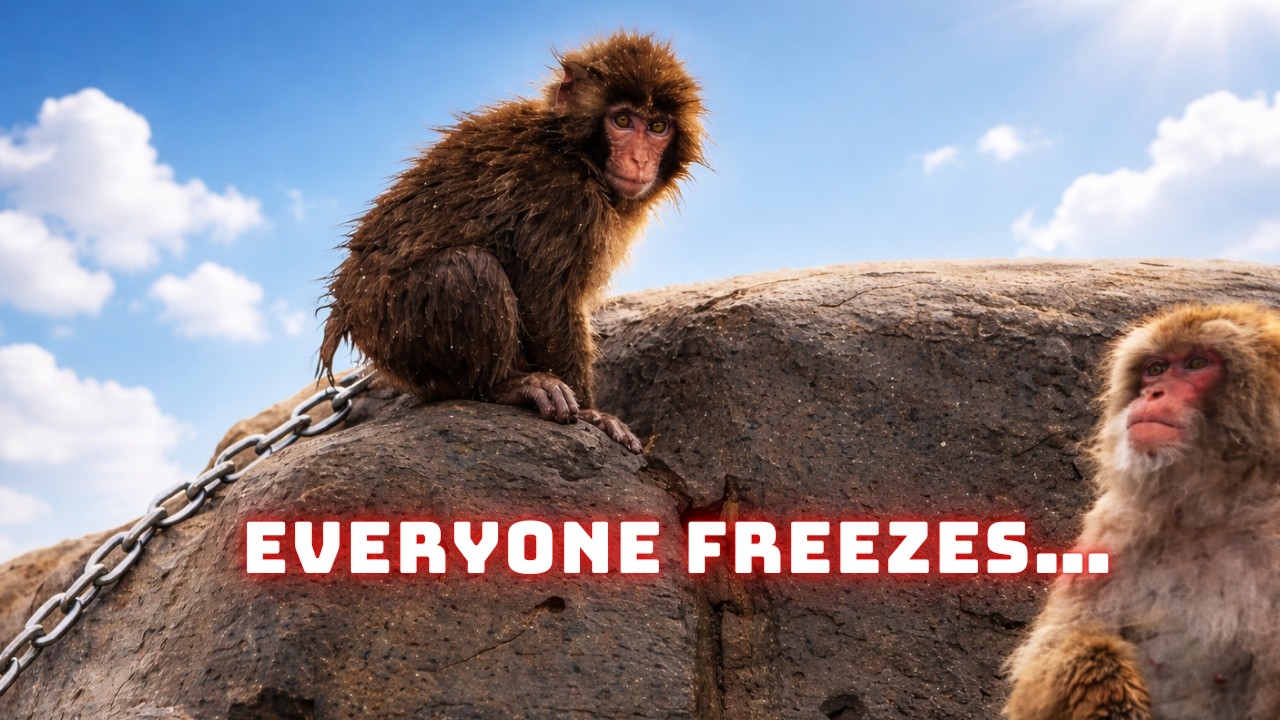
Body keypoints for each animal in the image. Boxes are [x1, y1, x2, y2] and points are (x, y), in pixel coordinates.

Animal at [318, 32, 707, 454]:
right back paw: (504, 385)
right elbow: (545, 302)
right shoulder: (564, 199)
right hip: (393, 324)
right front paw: (594, 415)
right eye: (622, 121)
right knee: (468, 268)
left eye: (657, 127)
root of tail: (348, 309)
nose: (638, 161)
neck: (573, 152)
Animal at [1004, 303, 1280, 720]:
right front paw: (1107, 684)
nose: (1152, 393)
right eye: (1156, 368)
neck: (1212, 509)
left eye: (1197, 363)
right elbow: (1049, 656)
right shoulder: (1114, 526)